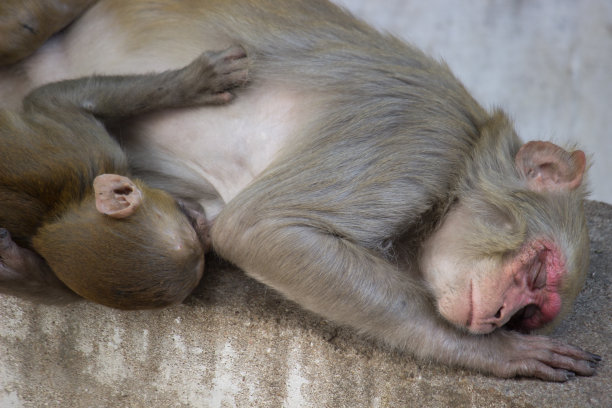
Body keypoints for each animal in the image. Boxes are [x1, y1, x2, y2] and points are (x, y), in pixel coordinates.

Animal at [0, 44, 249, 308]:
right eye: (193, 228)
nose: (207, 231)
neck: (57, 211)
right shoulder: (93, 148)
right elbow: (51, 98)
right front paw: (190, 83)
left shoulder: (88, 149)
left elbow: (48, 98)